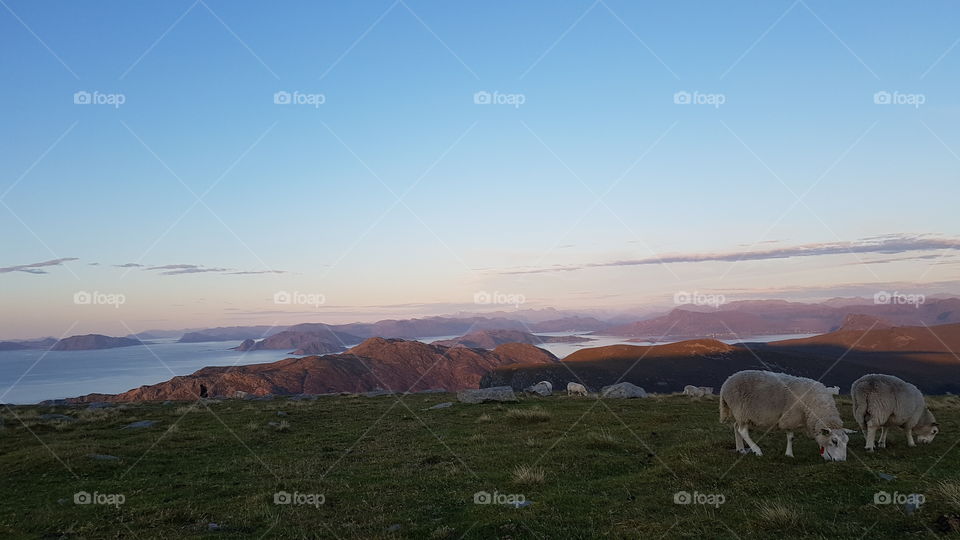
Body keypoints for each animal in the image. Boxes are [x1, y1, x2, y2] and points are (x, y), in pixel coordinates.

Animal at [719, 370, 853, 461]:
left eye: (847, 441)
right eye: (834, 441)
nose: (841, 461)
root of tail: (726, 382)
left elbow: (818, 437)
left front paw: (824, 454)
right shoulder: (789, 418)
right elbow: (791, 437)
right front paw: (789, 454)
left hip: (741, 414)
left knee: (736, 426)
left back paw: (740, 449)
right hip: (741, 410)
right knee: (743, 431)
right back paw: (757, 450)